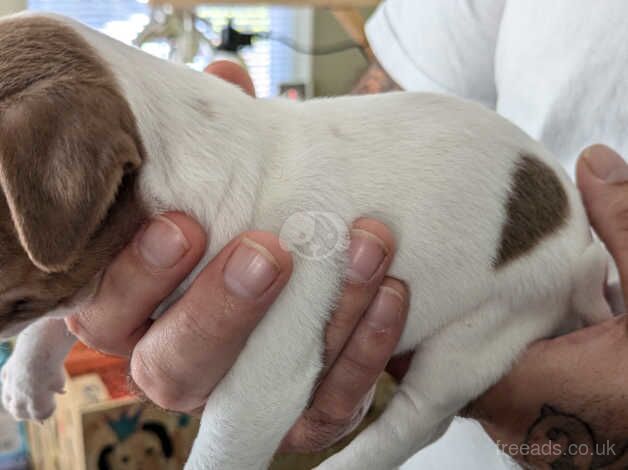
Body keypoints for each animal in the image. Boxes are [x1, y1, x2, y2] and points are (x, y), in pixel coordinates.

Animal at [0, 11, 612, 470]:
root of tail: (580, 235)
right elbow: (61, 306)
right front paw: (29, 371)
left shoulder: (260, 387)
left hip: (485, 331)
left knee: (420, 418)